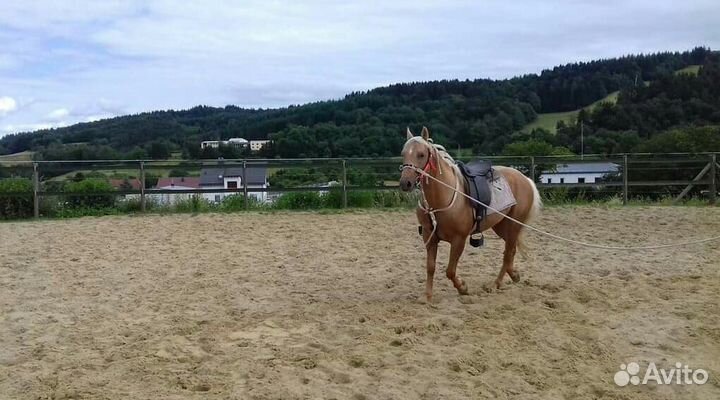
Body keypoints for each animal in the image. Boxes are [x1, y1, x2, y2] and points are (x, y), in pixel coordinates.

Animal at [399, 127, 542, 303]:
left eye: (421, 154)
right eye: (403, 153)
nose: (405, 183)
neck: (443, 196)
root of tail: (525, 178)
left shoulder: (458, 239)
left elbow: (450, 271)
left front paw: (463, 288)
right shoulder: (429, 237)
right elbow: (430, 267)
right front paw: (428, 296)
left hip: (514, 225)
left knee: (508, 254)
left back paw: (496, 284)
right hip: (502, 226)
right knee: (510, 252)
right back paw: (511, 276)